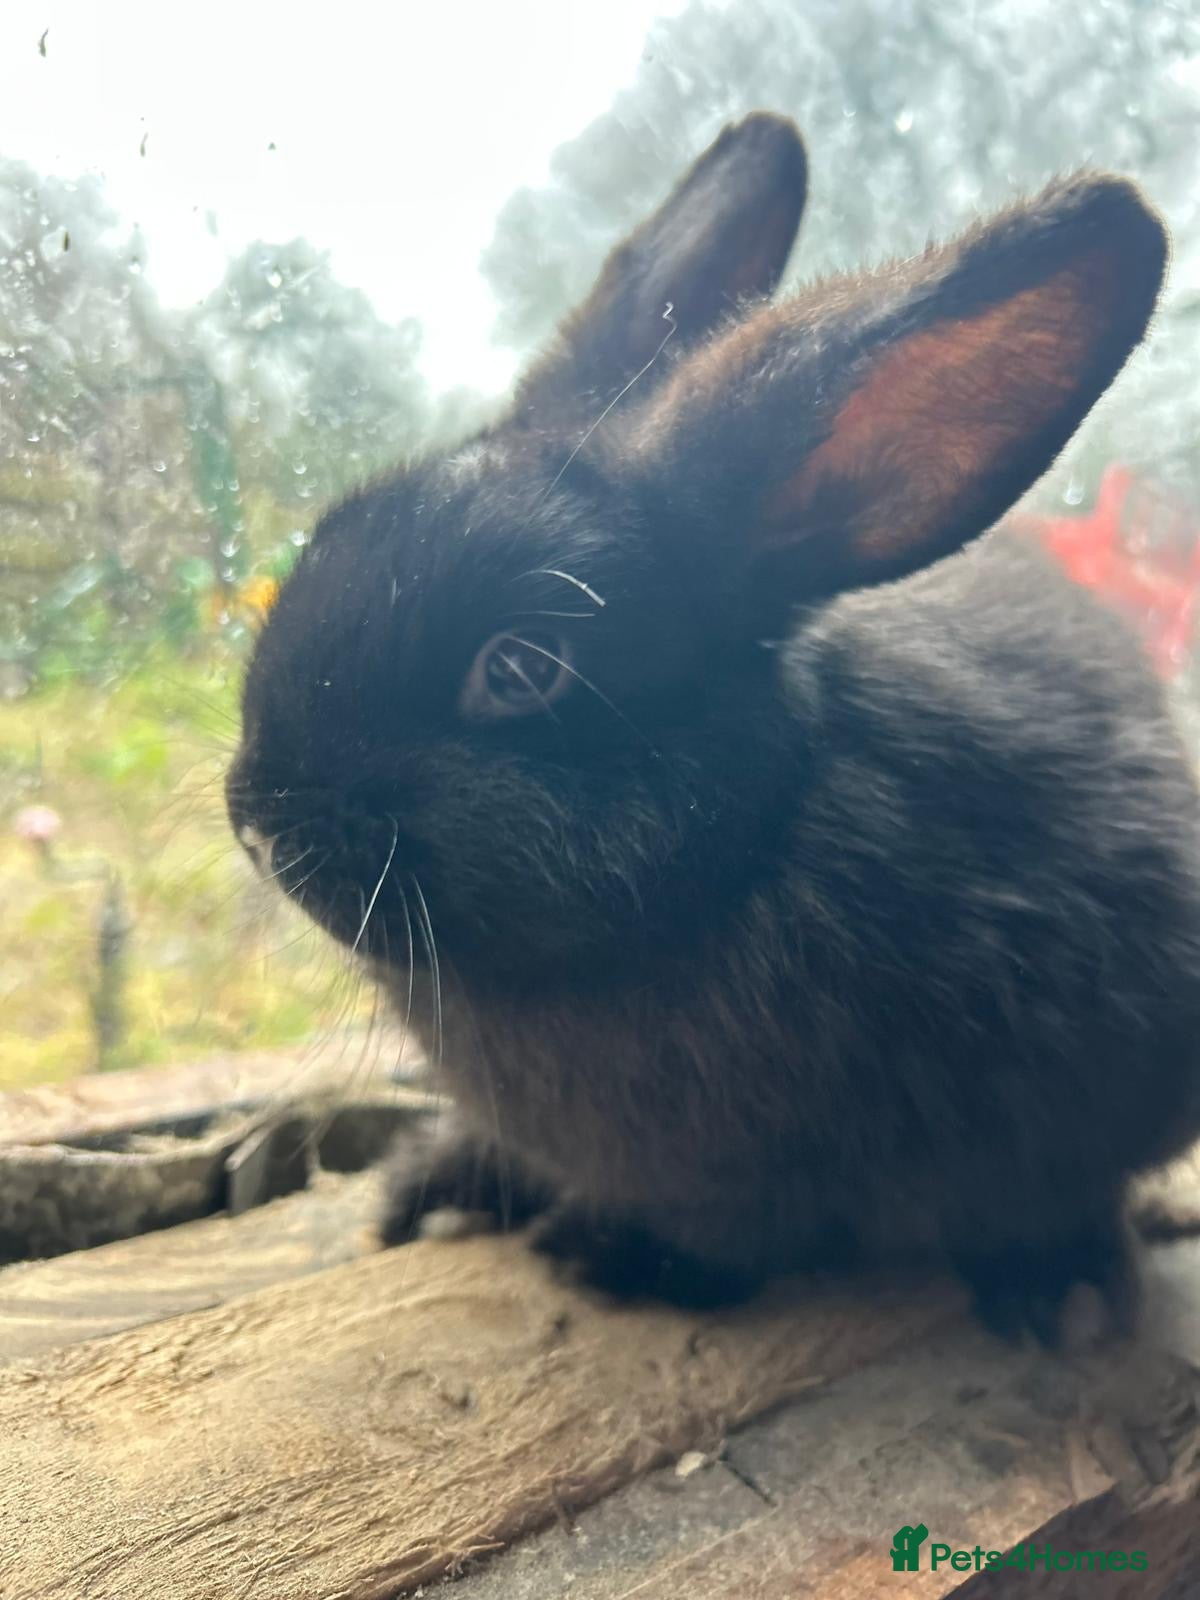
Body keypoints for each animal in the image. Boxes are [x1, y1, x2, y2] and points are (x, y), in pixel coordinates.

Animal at [227, 111, 1200, 1347]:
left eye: (521, 668)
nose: (255, 822)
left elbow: (741, 1239)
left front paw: (607, 1258)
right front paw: (438, 1185)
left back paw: (1052, 1290)